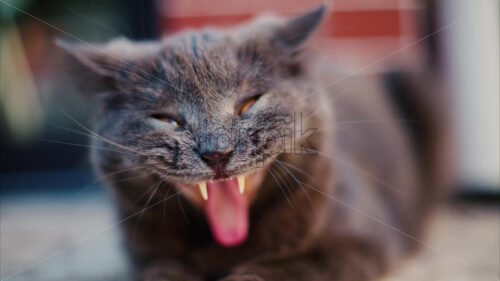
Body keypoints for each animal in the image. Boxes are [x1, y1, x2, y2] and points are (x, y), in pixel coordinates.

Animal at [58, 6, 446, 280]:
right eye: (168, 120)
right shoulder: (148, 257)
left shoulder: (361, 243)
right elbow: (163, 272)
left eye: (249, 103)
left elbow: (287, 269)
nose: (217, 151)